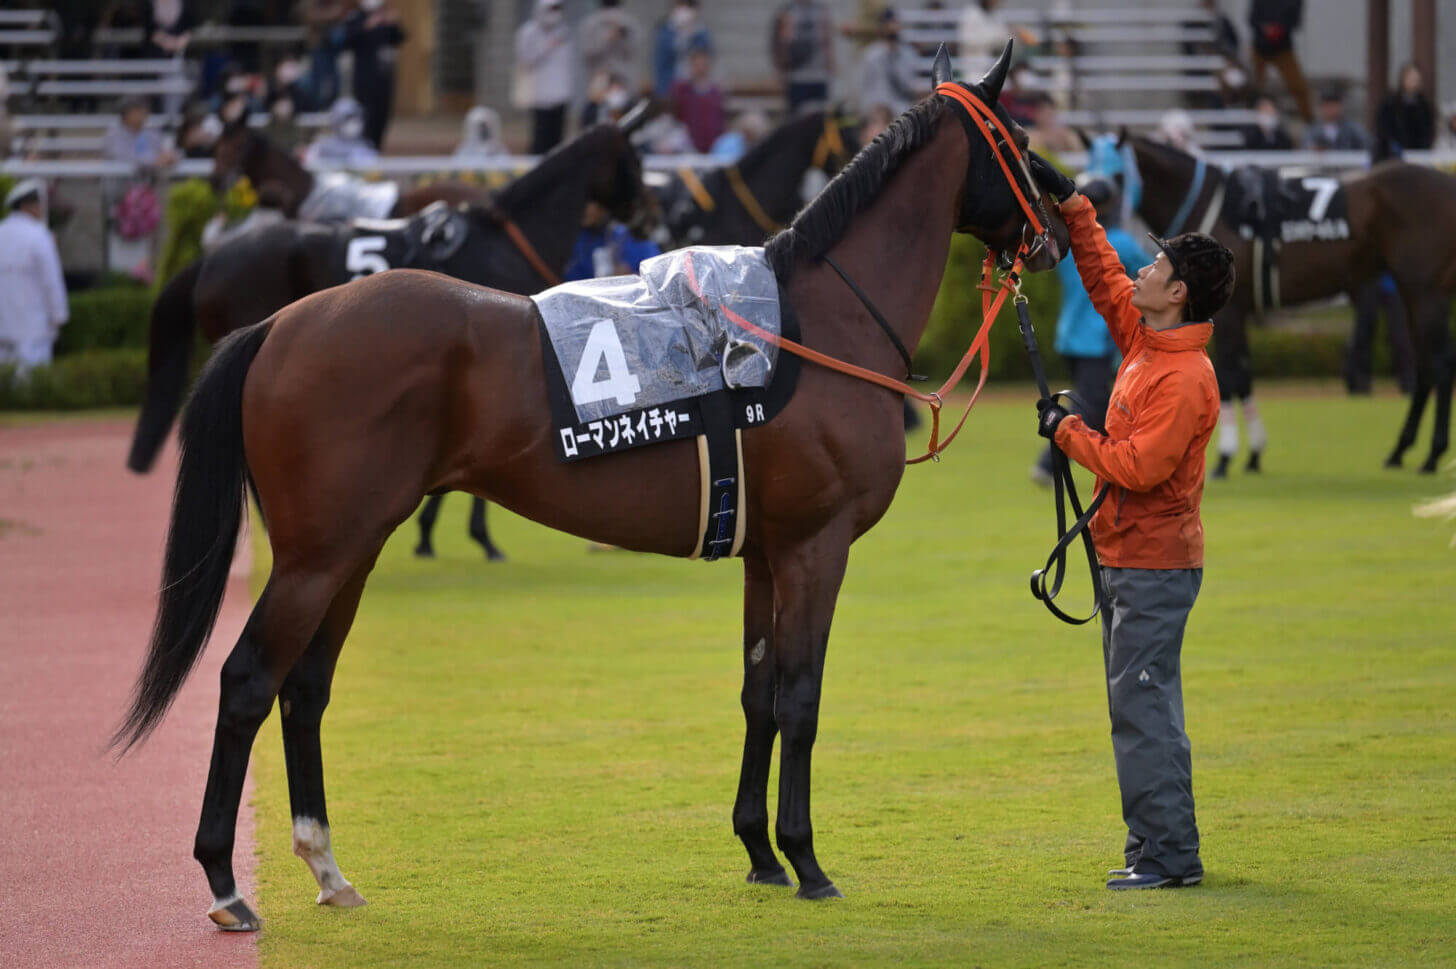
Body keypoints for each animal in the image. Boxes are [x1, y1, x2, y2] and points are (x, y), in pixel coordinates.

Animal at [1100, 132, 1456, 471]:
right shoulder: (1239, 310)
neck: (1210, 202)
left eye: (1117, 174)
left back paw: (1432, 454)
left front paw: (1227, 456)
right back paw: (1401, 450)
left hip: (1424, 290)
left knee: (1439, 364)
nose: (1096, 196)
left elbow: (1230, 374)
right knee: (1426, 365)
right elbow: (1243, 373)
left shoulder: (1231, 311)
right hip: (1414, 290)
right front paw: (1253, 454)